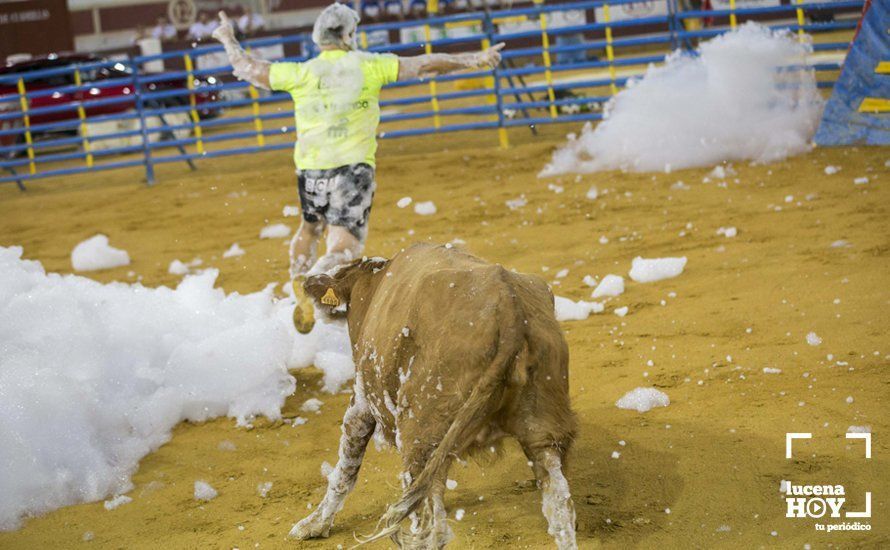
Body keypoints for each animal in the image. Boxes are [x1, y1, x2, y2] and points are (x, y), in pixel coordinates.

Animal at [290, 246, 576, 550]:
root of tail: (509, 309)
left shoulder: (361, 399)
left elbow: (345, 469)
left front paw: (313, 525)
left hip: (421, 440)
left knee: (432, 526)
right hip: (543, 432)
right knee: (560, 508)